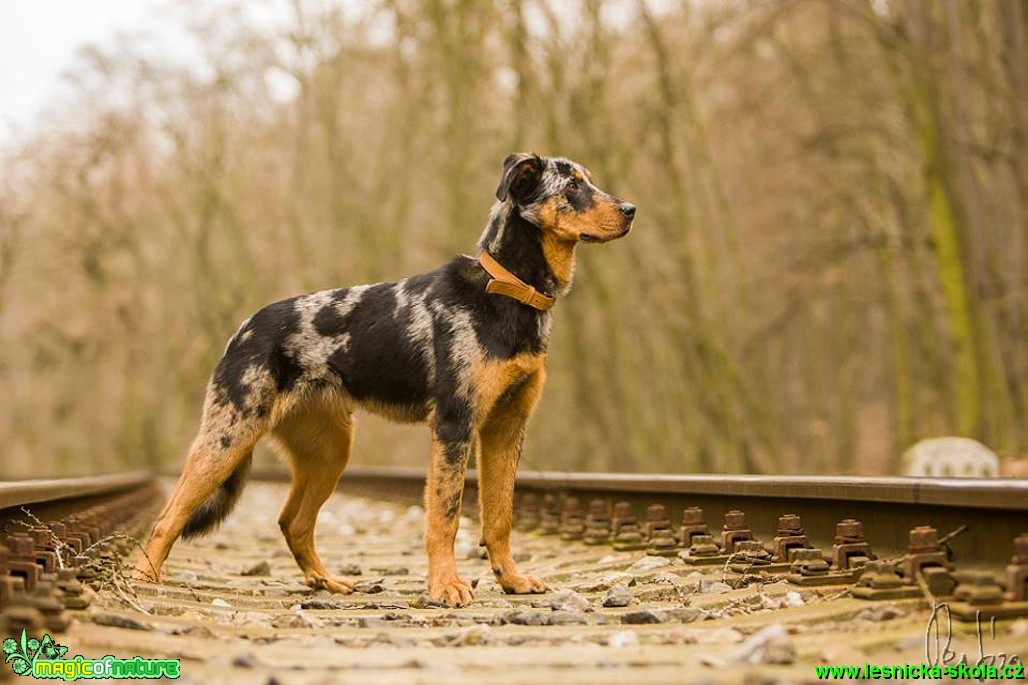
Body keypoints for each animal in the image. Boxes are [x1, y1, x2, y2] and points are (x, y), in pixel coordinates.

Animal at [131, 153, 633, 604]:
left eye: (589, 179)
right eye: (572, 186)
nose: (631, 210)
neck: (510, 289)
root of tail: (243, 329)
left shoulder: (505, 429)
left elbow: (499, 516)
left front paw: (510, 579)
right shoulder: (454, 425)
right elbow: (445, 517)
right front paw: (445, 587)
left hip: (329, 452)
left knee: (293, 522)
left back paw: (326, 582)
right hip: (227, 438)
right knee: (168, 517)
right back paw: (143, 580)